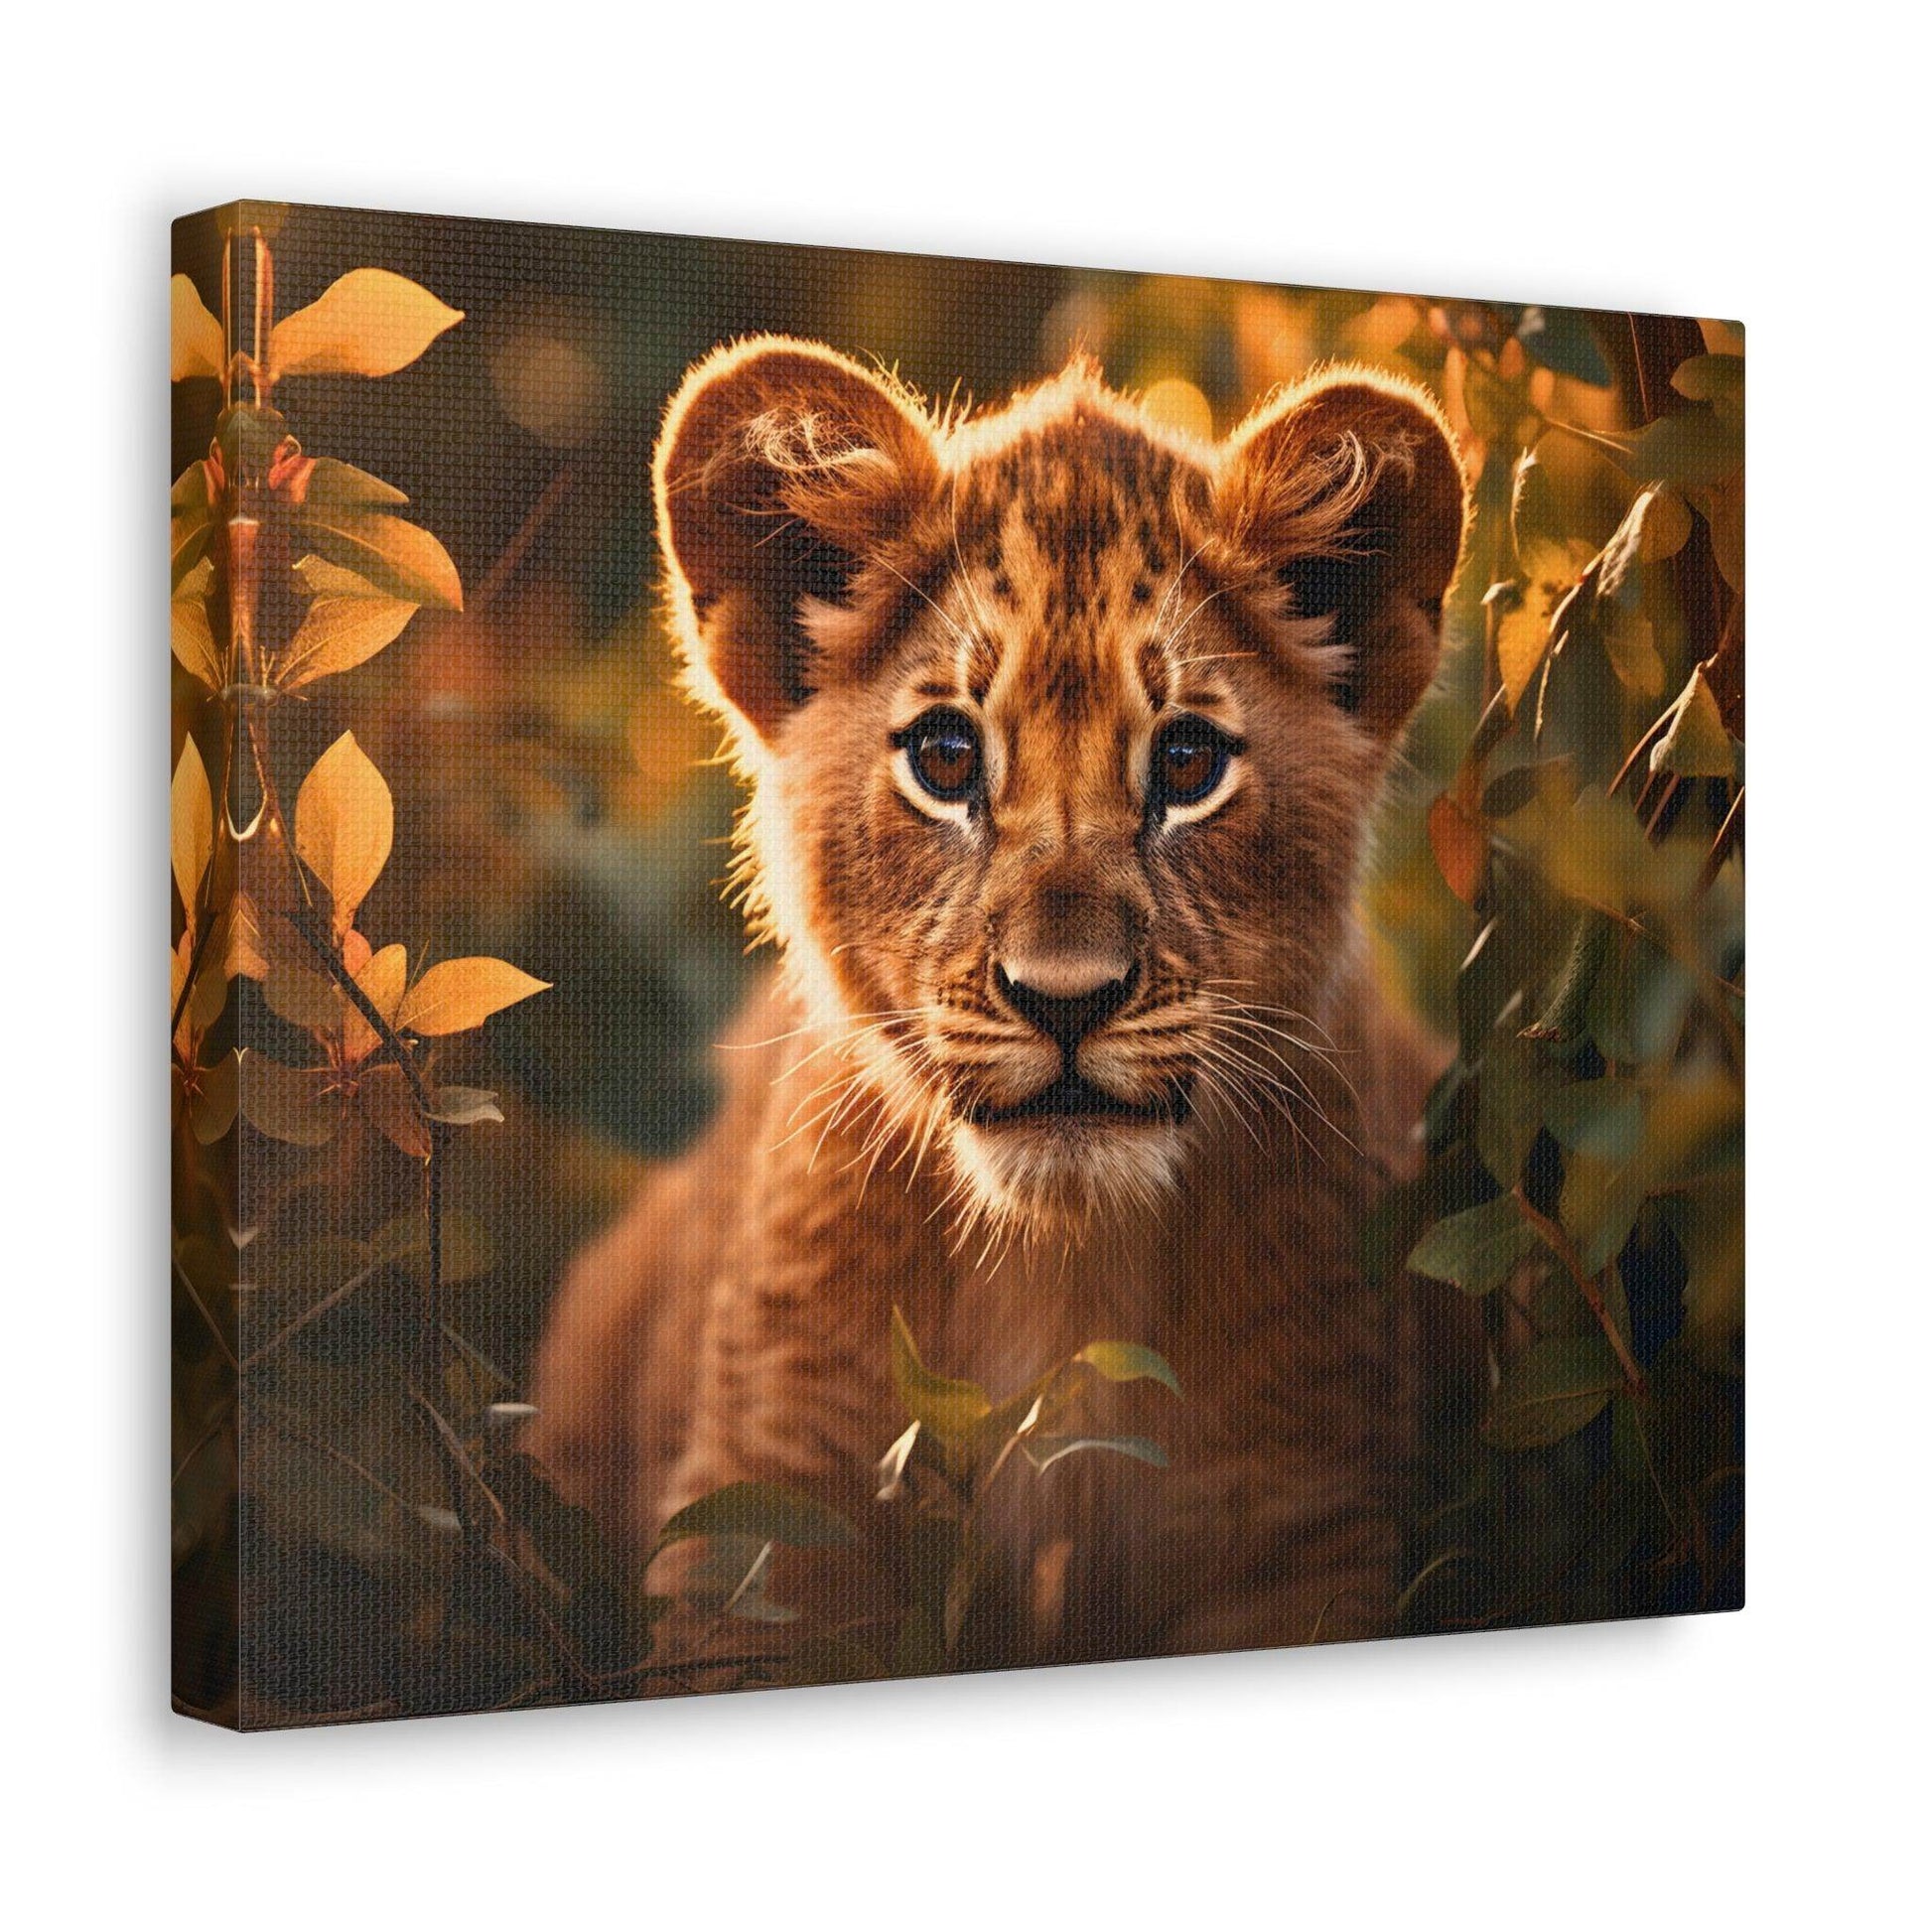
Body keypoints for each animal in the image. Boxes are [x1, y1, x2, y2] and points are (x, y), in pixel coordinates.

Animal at [527, 335, 1478, 1667]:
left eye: (1186, 761)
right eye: (945, 758)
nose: (1064, 1001)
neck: (1059, 1271)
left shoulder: (1300, 1525)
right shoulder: (765, 1521)